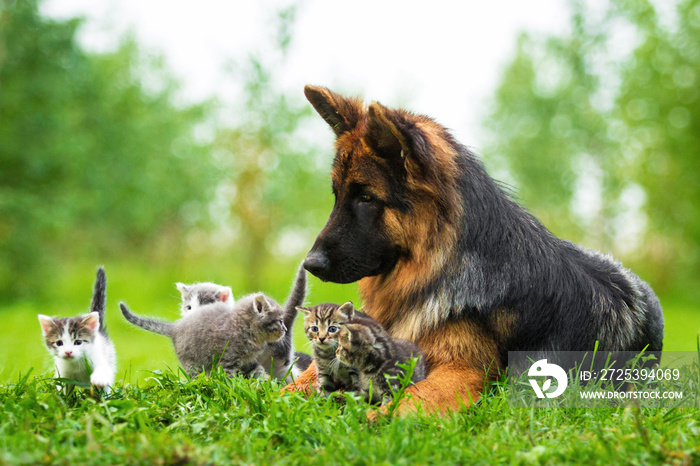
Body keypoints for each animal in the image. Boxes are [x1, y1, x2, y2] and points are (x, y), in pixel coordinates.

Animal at [37, 268, 116, 396]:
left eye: (78, 342)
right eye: (59, 343)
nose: (68, 352)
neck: (76, 363)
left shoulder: (100, 358)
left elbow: (104, 369)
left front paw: (99, 379)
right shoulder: (63, 372)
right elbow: (63, 388)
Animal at [282, 85, 664, 414]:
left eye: (366, 197)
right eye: (338, 195)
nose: (310, 264)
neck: (437, 269)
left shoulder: (464, 369)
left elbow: (414, 397)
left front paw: (376, 418)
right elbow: (299, 381)